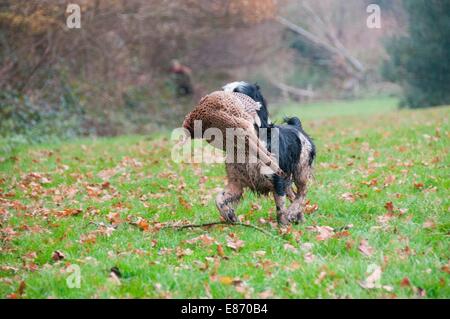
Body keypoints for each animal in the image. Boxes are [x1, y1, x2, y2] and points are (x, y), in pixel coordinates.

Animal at [218, 82, 316, 225]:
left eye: (238, 92)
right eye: (223, 90)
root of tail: (296, 126)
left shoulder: (277, 180)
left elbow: (280, 209)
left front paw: (284, 227)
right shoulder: (236, 182)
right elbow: (219, 199)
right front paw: (229, 215)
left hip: (301, 171)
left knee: (302, 192)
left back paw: (293, 212)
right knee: (293, 195)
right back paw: (299, 218)